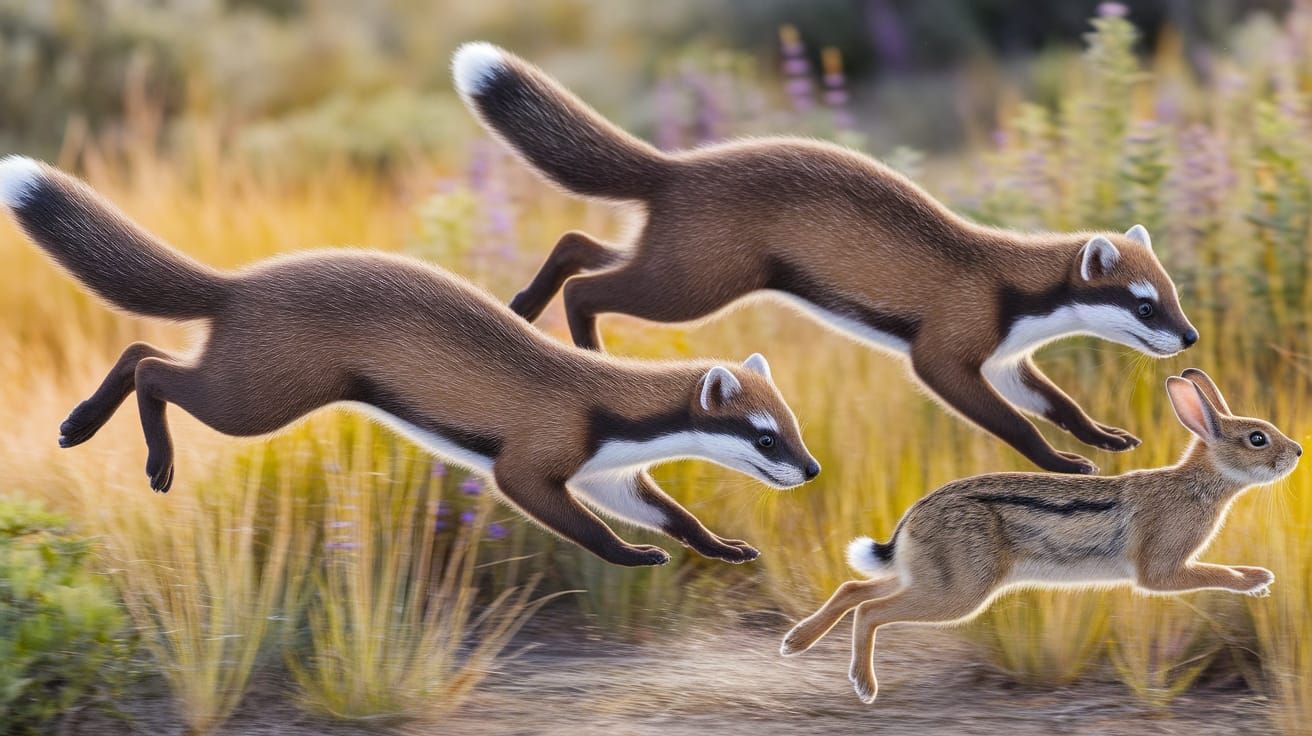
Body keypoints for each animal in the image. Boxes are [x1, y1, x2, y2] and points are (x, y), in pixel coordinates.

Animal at [778, 368, 1302, 703]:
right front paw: (1257, 580)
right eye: (1257, 439)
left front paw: (1258, 578)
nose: (1296, 452)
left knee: (853, 589)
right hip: (959, 591)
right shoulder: (1161, 570)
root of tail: (912, 521)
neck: (1200, 483)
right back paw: (864, 686)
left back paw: (797, 643)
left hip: (929, 576)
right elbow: (1215, 573)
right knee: (871, 611)